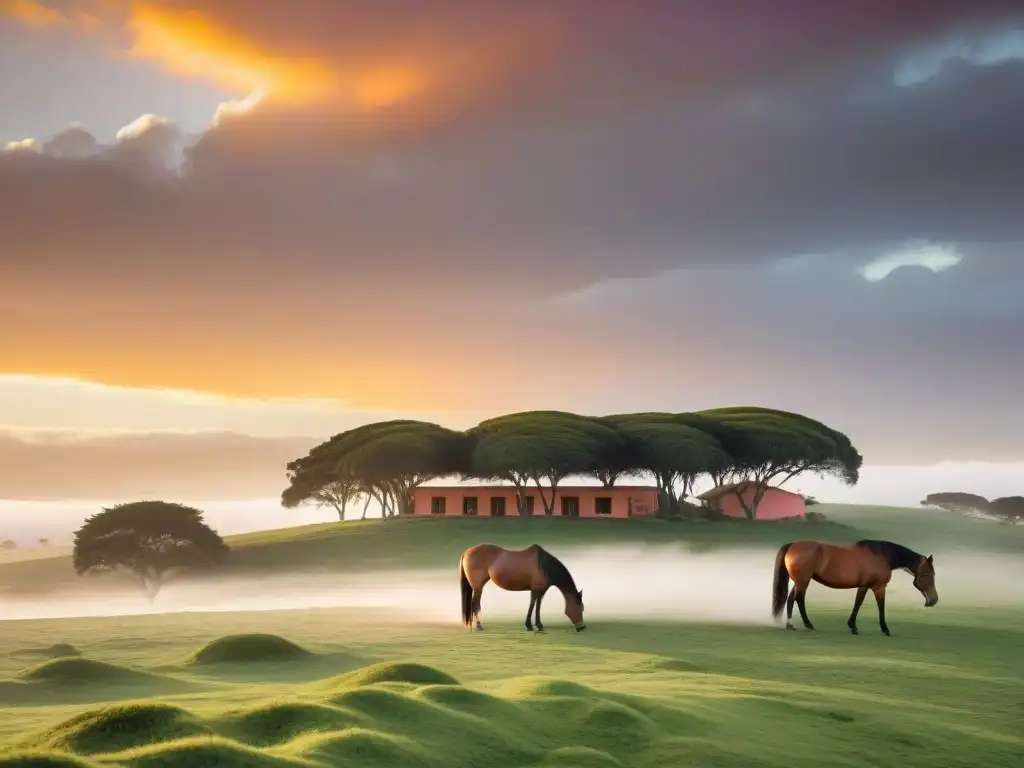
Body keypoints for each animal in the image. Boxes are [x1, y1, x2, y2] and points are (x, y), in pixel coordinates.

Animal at [770, 536, 937, 634]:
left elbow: (858, 603)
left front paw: (852, 626)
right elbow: (881, 606)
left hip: (799, 581)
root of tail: (793, 545)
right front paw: (885, 629)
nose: (934, 600)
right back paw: (808, 624)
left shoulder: (863, 586)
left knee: (791, 599)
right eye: (929, 574)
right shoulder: (878, 587)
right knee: (799, 599)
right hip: (803, 581)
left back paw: (790, 624)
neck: (882, 556)